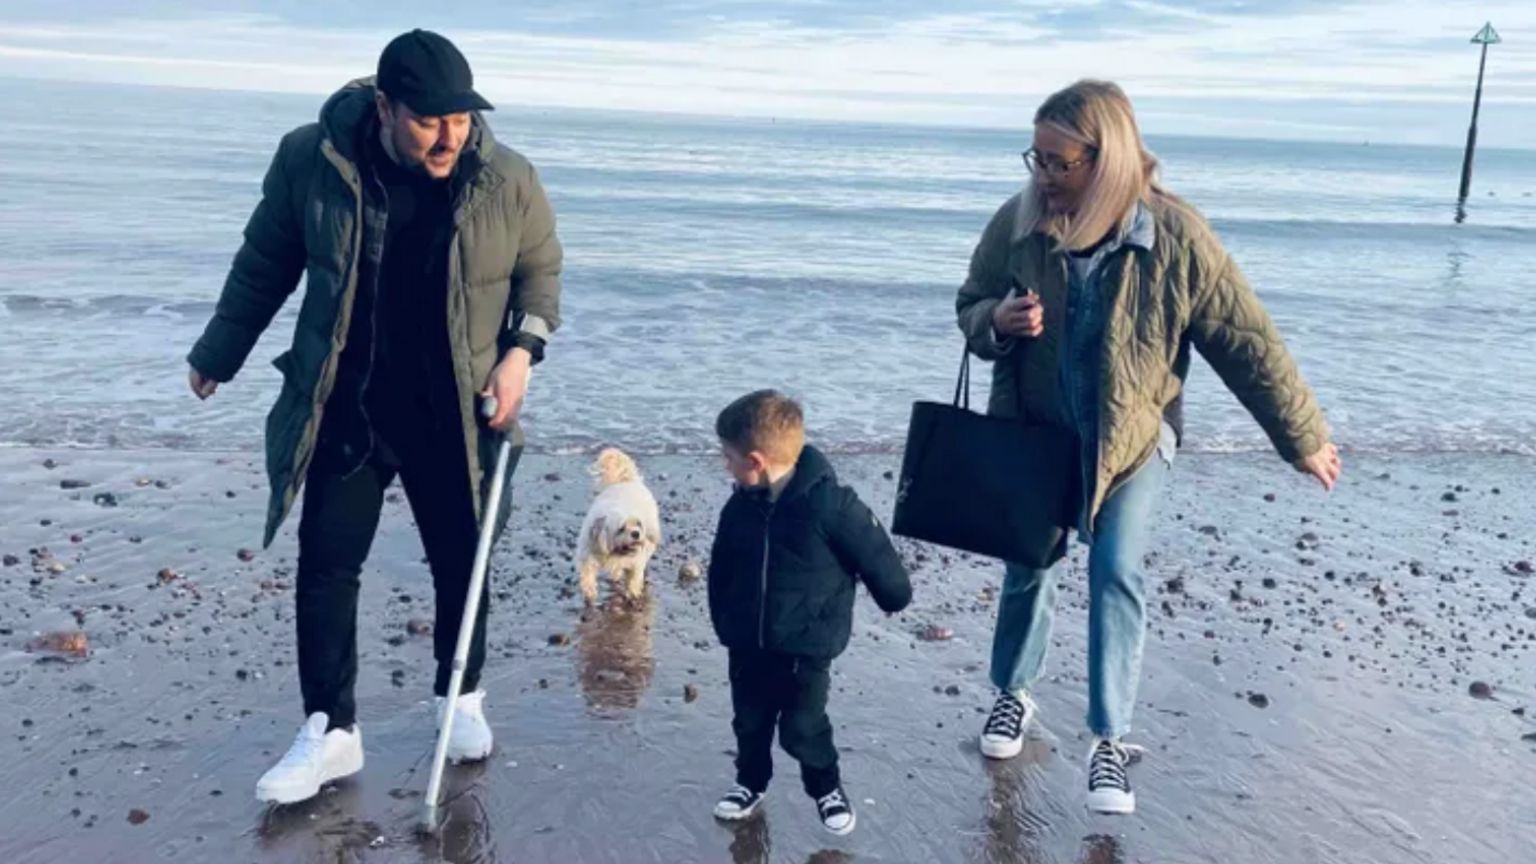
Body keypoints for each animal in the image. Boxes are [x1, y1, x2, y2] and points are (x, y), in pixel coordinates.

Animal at [577, 445, 660, 602]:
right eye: (621, 529)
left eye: (638, 524)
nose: (636, 533)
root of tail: (626, 480)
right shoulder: (588, 554)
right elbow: (587, 573)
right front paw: (590, 592)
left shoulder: (636, 561)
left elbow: (634, 577)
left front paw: (633, 593)